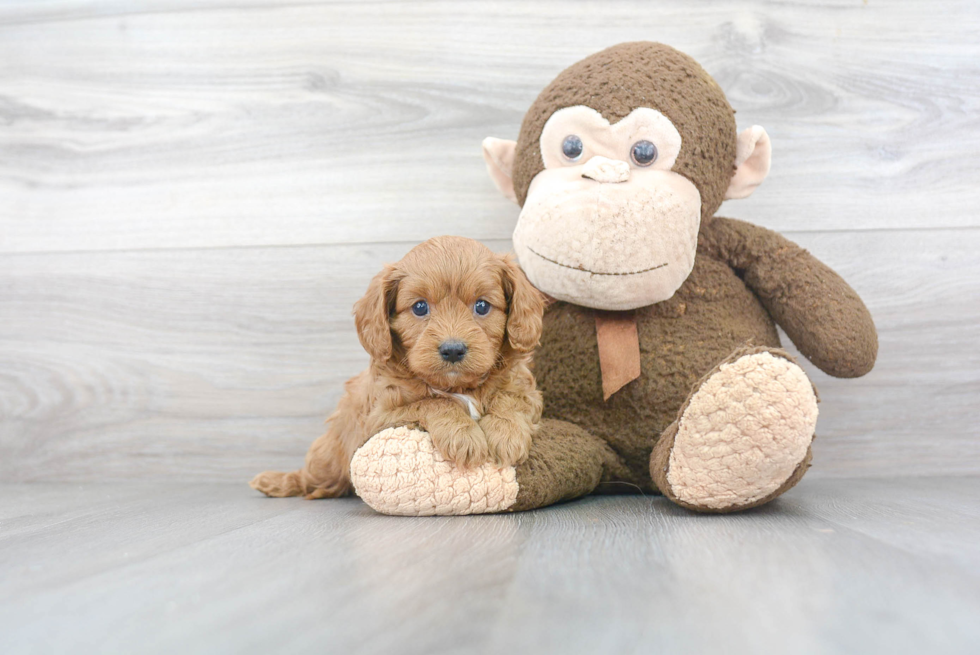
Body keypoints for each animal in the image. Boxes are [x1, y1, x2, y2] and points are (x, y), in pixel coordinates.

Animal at [251, 238, 544, 500]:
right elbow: (434, 402)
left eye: (482, 305)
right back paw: (274, 482)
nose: (452, 350)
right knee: (309, 476)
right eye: (420, 307)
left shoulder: (527, 391)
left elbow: (510, 398)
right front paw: (463, 436)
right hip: (327, 457)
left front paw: (506, 434)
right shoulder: (379, 417)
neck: (457, 385)